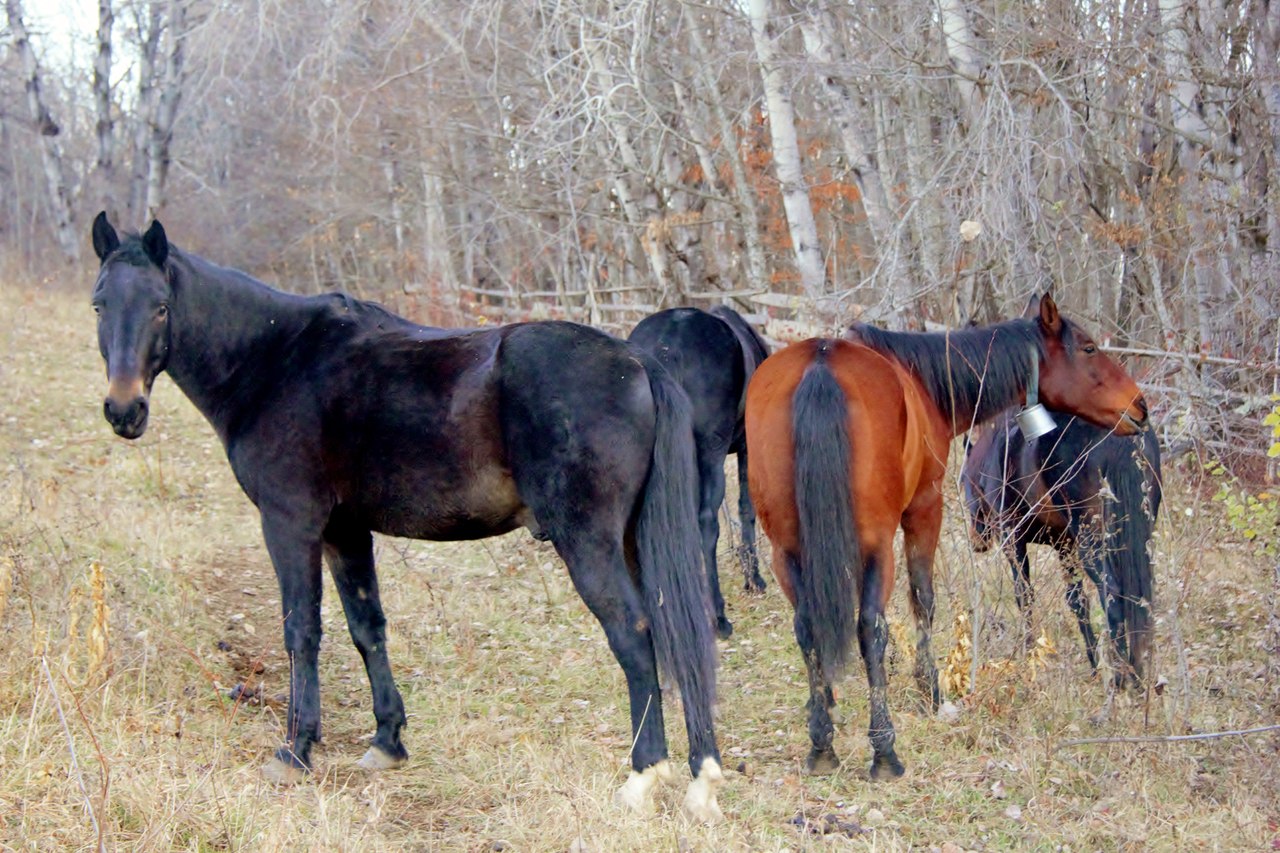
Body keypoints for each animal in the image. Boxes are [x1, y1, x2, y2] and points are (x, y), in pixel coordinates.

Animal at [88, 212, 727, 819]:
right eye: (99, 304)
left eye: (161, 307)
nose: (124, 410)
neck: (275, 359)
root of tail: (636, 362)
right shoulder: (345, 532)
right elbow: (366, 627)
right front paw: (387, 741)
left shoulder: (291, 524)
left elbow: (302, 631)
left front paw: (294, 751)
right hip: (635, 542)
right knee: (676, 633)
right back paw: (702, 778)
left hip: (589, 543)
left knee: (635, 635)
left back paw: (643, 776)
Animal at [629, 306, 768, 637]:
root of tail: (667, 345)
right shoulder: (747, 448)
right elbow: (746, 509)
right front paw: (753, 578)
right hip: (710, 452)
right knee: (705, 522)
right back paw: (717, 616)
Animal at [962, 404, 1162, 686]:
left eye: (963, 481)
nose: (977, 541)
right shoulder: (1064, 545)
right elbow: (1077, 601)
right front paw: (1093, 666)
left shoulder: (1013, 538)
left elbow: (1024, 596)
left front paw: (1028, 656)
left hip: (1091, 543)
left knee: (1111, 594)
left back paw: (1122, 677)